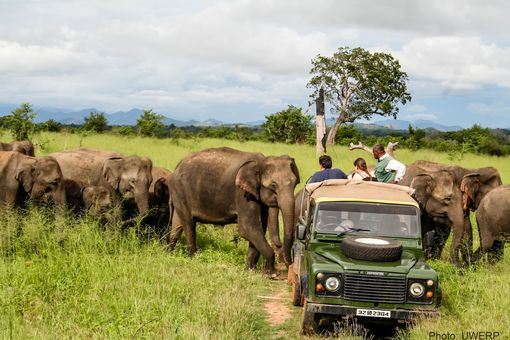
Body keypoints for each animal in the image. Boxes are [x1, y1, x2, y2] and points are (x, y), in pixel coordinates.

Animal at [169, 146, 300, 274]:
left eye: (295, 184)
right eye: (273, 185)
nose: (289, 266)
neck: (261, 161)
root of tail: (178, 164)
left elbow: (259, 228)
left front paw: (250, 270)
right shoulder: (242, 194)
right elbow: (247, 228)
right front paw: (270, 273)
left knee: (177, 225)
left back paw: (169, 252)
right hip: (181, 191)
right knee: (189, 223)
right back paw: (193, 259)